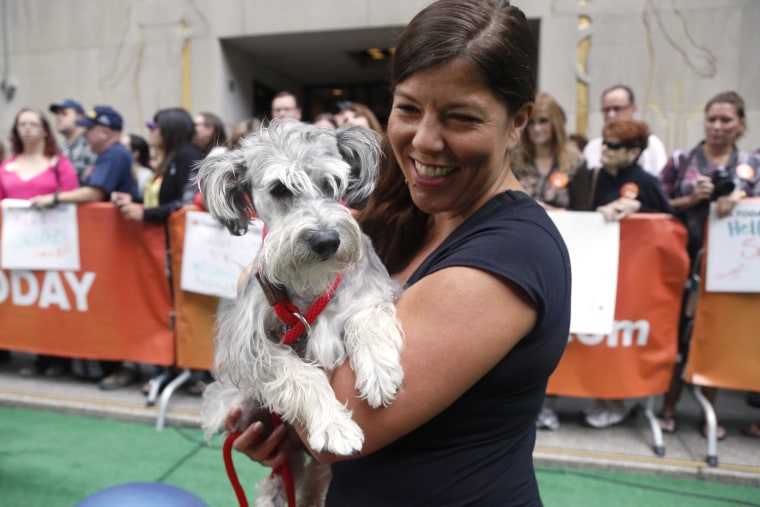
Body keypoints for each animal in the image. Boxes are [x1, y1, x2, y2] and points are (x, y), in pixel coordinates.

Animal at [199, 120, 406, 507]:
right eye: (280, 188)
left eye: (332, 183)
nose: (326, 241)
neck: (310, 285)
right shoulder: (248, 343)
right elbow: (301, 374)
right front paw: (335, 424)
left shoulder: (375, 291)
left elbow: (366, 317)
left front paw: (379, 370)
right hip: (247, 411)